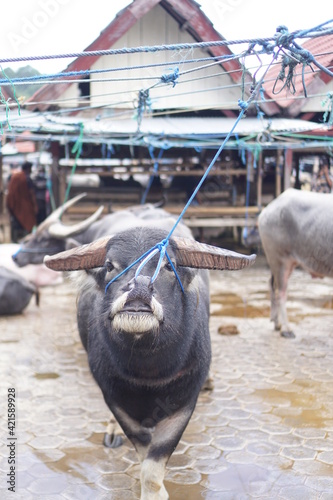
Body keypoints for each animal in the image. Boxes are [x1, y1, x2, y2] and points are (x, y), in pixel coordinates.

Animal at [44, 213, 254, 498]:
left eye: (168, 266)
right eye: (109, 265)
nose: (139, 288)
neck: (148, 371)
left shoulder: (183, 403)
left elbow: (155, 462)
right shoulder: (116, 400)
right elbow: (143, 450)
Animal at [258, 188, 332, 340]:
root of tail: (268, 209)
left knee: (273, 286)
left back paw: (277, 323)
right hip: (280, 261)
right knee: (281, 292)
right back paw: (286, 329)